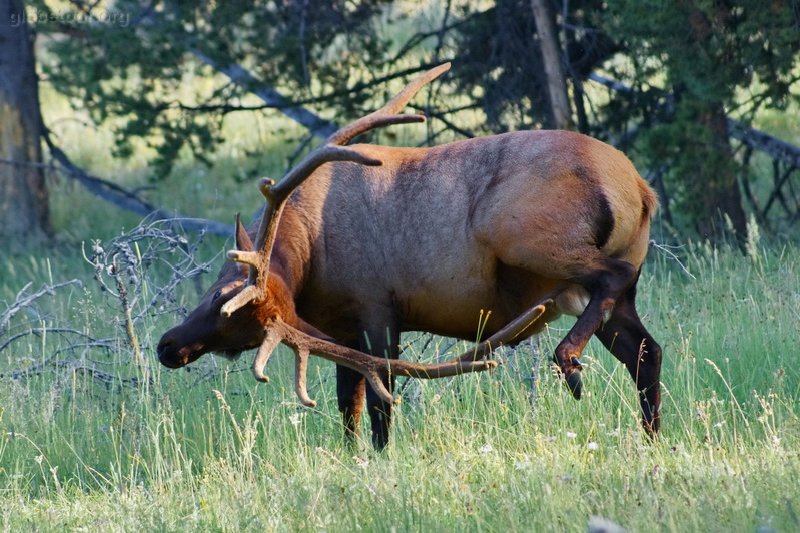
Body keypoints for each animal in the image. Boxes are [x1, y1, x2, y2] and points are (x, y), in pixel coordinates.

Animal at [158, 63, 664, 448]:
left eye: (222, 298)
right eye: (245, 332)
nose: (167, 347)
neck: (309, 249)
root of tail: (640, 189)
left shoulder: (378, 308)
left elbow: (380, 401)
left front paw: (380, 457)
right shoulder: (342, 326)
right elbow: (349, 404)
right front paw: (353, 457)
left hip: (523, 235)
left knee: (614, 276)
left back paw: (568, 358)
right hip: (602, 289)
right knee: (646, 350)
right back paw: (652, 438)